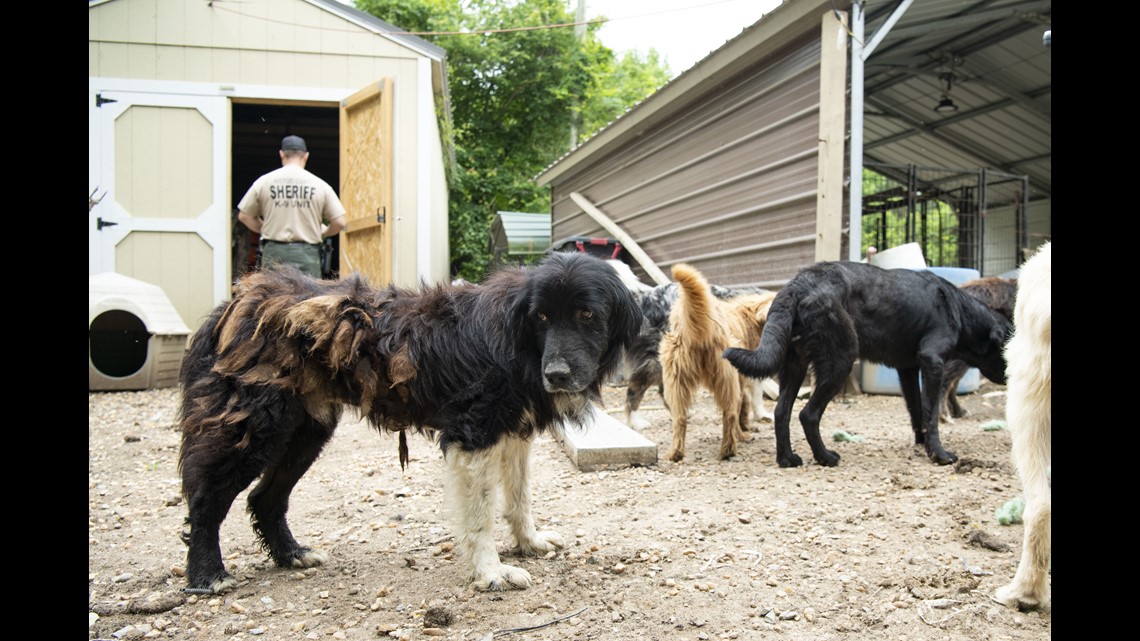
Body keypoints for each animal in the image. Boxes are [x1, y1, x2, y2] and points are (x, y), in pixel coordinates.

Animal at [175, 250, 642, 593]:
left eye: (587, 315)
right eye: (541, 317)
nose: (557, 375)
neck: (519, 340)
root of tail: (234, 302)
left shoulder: (514, 432)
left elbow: (519, 498)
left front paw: (529, 542)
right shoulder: (472, 435)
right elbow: (480, 516)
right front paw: (491, 573)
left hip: (305, 432)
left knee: (264, 498)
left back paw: (292, 554)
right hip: (253, 429)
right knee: (206, 500)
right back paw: (207, 575)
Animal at [661, 263, 775, 458]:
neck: (751, 317)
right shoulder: (739, 379)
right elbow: (741, 405)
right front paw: (743, 433)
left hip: (676, 381)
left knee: (680, 418)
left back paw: (675, 454)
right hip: (726, 378)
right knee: (729, 413)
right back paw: (728, 450)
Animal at [725, 257, 1012, 463]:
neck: (960, 310)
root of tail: (799, 283)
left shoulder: (907, 369)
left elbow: (917, 411)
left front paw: (922, 443)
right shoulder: (932, 362)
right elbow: (931, 414)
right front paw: (939, 455)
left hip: (795, 365)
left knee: (781, 411)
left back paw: (787, 459)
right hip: (841, 359)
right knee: (808, 414)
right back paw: (825, 457)